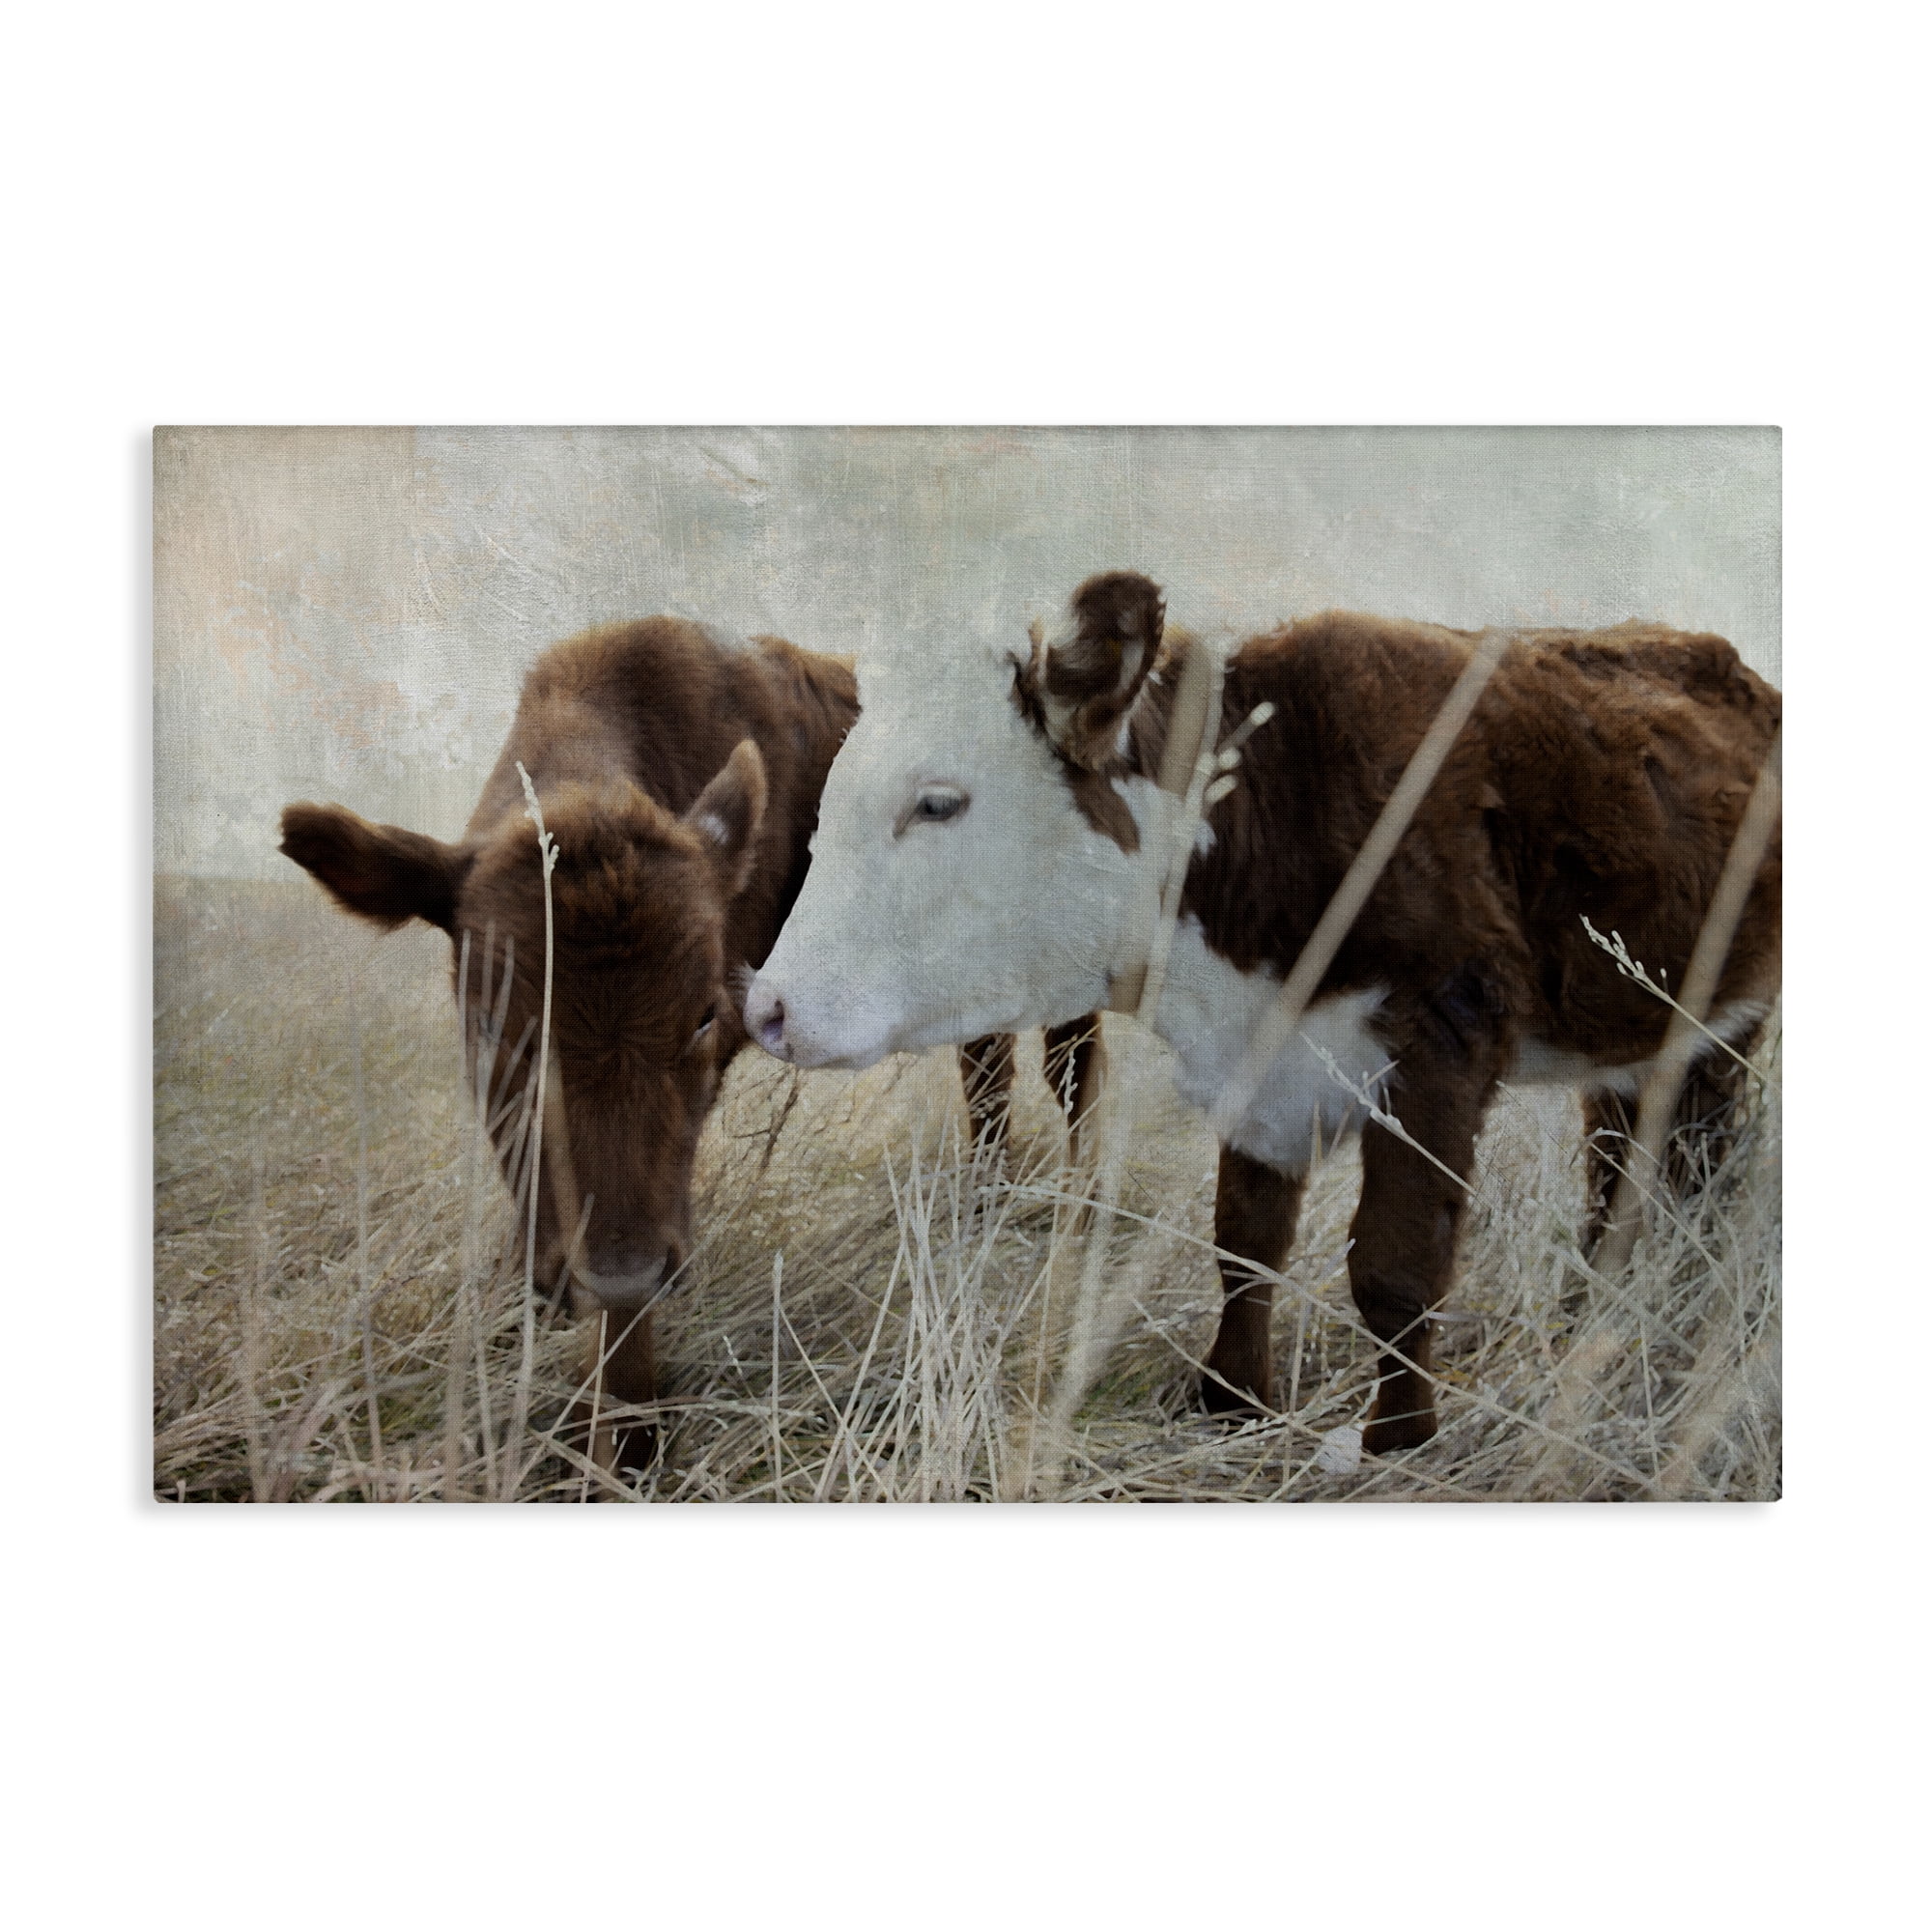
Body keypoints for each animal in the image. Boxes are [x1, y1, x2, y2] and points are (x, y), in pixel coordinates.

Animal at [279, 617, 1100, 1473]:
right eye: (488, 1021)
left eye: (705, 1015)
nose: (616, 1272)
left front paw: (631, 1438)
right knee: (989, 1063)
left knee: (1069, 1064)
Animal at [742, 572, 1782, 1455]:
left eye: (938, 802)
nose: (768, 1006)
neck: (1272, 803)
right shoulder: (1259, 1067)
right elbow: (1243, 1242)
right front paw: (1231, 1400)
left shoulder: (1441, 1037)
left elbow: (1395, 1265)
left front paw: (1396, 1442)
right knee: (1620, 1169)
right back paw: (1590, 1316)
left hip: (1725, 1025)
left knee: (1697, 1165)